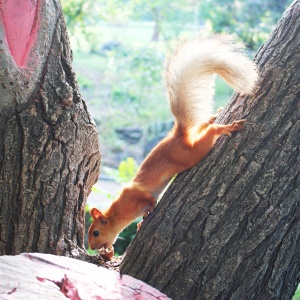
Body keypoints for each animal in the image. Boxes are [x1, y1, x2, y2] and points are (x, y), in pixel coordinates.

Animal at [87, 34, 258, 256]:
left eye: (96, 232)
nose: (92, 247)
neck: (118, 211)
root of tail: (178, 134)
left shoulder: (137, 198)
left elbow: (149, 202)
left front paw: (146, 215)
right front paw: (140, 223)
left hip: (192, 153)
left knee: (210, 134)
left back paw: (227, 126)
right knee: (203, 127)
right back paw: (214, 116)